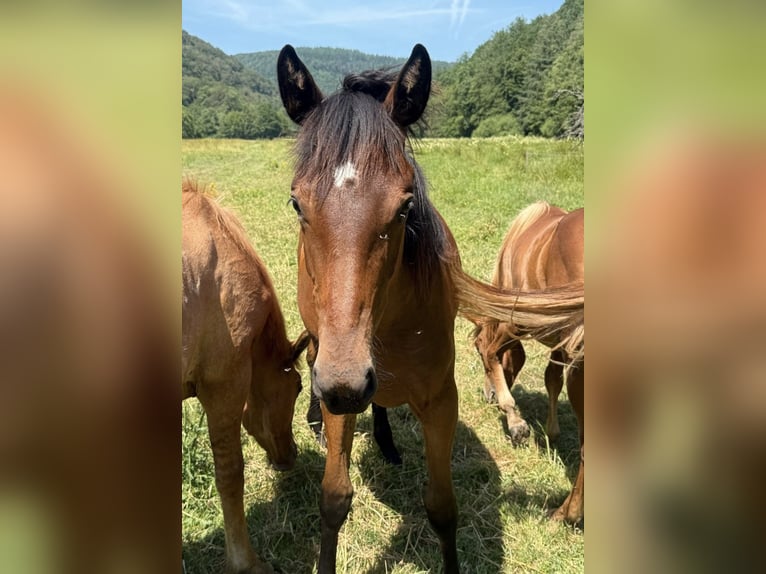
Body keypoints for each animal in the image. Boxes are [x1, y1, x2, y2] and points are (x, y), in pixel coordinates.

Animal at [473, 202, 584, 447]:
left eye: (474, 349)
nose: (489, 395)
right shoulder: (560, 343)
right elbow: (552, 379)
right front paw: (551, 432)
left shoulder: (518, 323)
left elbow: (490, 351)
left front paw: (516, 424)